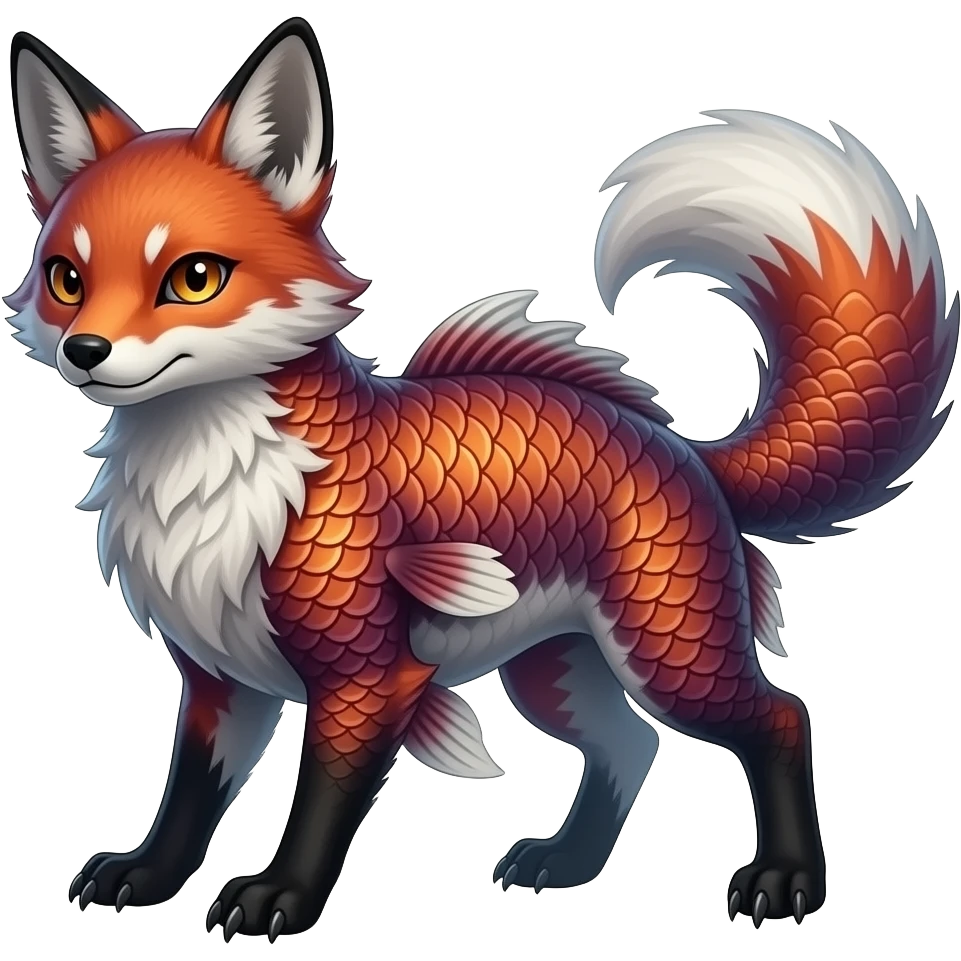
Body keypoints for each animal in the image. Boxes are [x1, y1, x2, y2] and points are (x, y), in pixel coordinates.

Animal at [8, 18, 957, 941]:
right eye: (66, 279)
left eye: (193, 277)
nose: (85, 352)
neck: (218, 483)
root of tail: (682, 443)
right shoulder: (218, 679)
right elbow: (185, 802)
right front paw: (145, 877)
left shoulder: (367, 677)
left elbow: (318, 806)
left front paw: (282, 895)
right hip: (556, 670)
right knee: (629, 744)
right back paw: (567, 864)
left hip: (668, 654)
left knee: (779, 717)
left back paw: (787, 879)